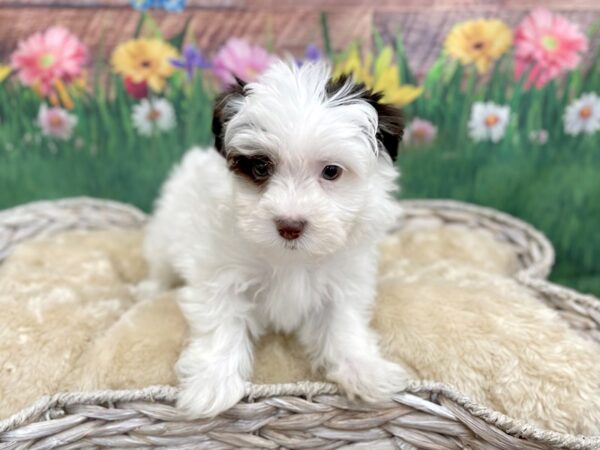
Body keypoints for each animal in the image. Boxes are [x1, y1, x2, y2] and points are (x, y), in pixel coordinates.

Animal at [143, 59, 410, 418]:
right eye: (260, 167)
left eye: (331, 171)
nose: (290, 225)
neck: (289, 256)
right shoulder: (220, 272)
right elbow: (221, 321)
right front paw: (212, 383)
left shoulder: (344, 277)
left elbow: (343, 323)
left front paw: (364, 369)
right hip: (166, 230)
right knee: (160, 267)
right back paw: (149, 289)